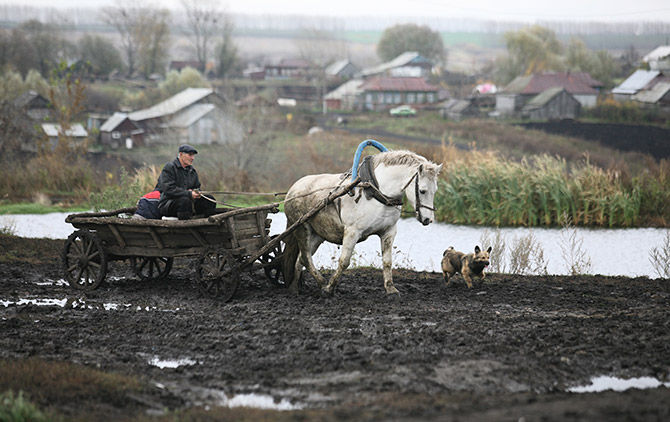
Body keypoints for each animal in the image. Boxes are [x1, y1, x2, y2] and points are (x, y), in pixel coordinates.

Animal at [282, 150, 444, 296]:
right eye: (422, 191)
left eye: (435, 190)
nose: (428, 219)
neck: (377, 191)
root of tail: (293, 189)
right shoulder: (352, 232)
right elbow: (344, 261)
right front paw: (329, 288)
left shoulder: (389, 231)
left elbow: (387, 262)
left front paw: (391, 289)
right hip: (302, 229)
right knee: (305, 257)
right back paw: (322, 284)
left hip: (317, 235)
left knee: (300, 260)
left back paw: (294, 288)